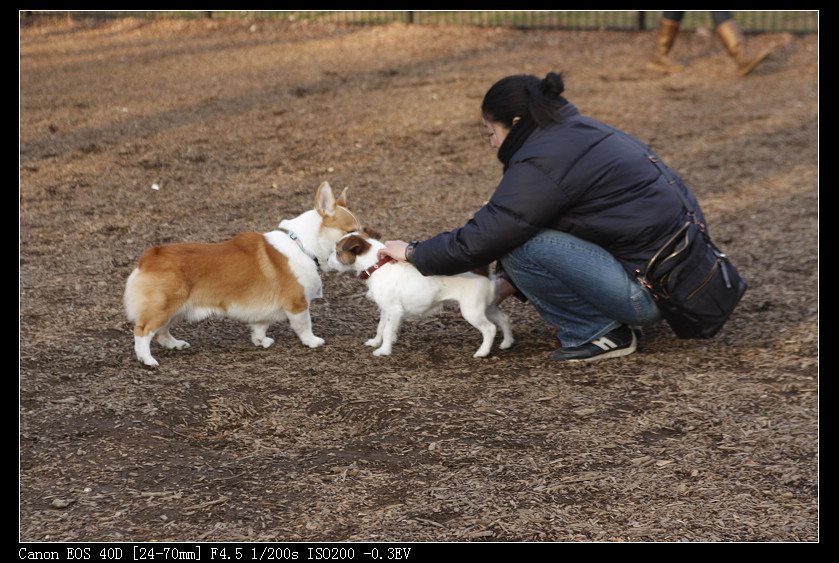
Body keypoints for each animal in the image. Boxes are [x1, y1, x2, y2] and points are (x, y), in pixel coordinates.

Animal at [124, 181, 360, 366]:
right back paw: (147, 359)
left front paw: (261, 342)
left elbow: (260, 327)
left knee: (161, 332)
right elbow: (304, 325)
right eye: (350, 232)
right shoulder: (297, 304)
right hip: (164, 307)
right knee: (142, 331)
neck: (302, 245)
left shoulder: (263, 310)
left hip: (175, 309)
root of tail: (150, 256)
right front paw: (312, 341)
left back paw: (175, 344)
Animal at [326, 232, 512, 356]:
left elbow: (387, 331)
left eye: (337, 251)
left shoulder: (394, 311)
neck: (377, 265)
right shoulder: (386, 310)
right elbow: (381, 328)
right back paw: (507, 342)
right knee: (504, 319)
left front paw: (384, 350)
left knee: (490, 329)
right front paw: (376, 342)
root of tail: (483, 271)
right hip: (487, 308)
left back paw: (483, 352)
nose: (326, 260)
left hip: (471, 311)